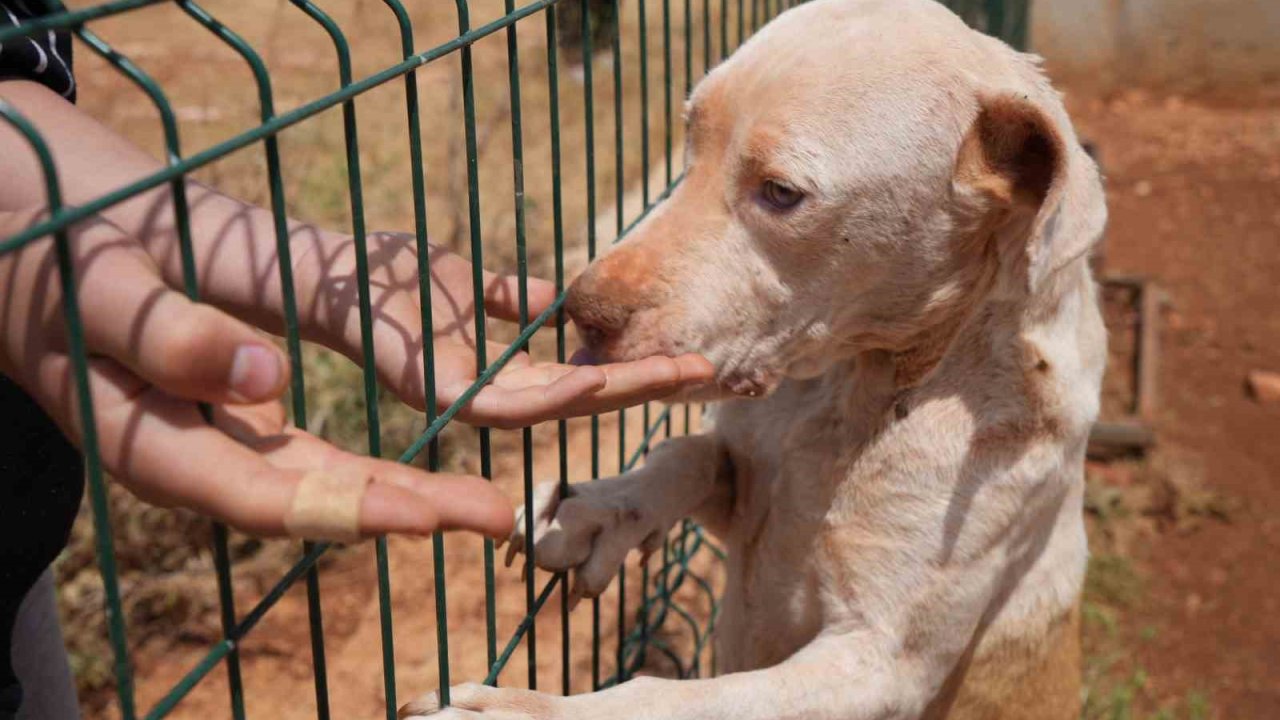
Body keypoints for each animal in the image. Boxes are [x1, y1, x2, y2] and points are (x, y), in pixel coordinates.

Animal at [407, 0, 1100, 712]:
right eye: (689, 141)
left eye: (781, 193)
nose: (582, 312)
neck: (851, 390)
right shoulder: (743, 495)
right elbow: (686, 454)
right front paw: (591, 510)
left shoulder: (880, 664)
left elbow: (666, 697)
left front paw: (520, 710)